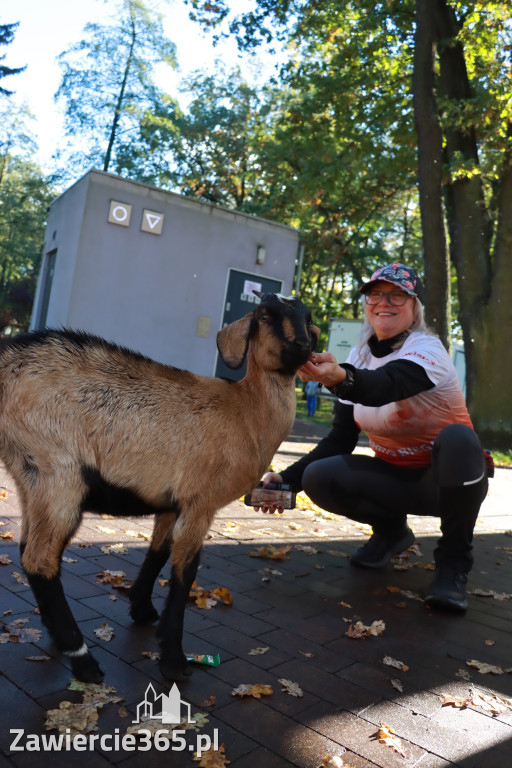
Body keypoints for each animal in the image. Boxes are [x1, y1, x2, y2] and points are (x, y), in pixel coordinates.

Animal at [0, 292, 318, 680]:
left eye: (307, 317)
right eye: (265, 315)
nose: (302, 345)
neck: (245, 414)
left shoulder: (171, 503)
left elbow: (158, 552)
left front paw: (142, 610)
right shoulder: (200, 501)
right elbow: (185, 571)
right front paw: (174, 660)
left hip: (29, 475)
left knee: (29, 548)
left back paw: (59, 638)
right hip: (58, 471)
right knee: (39, 559)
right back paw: (83, 659)